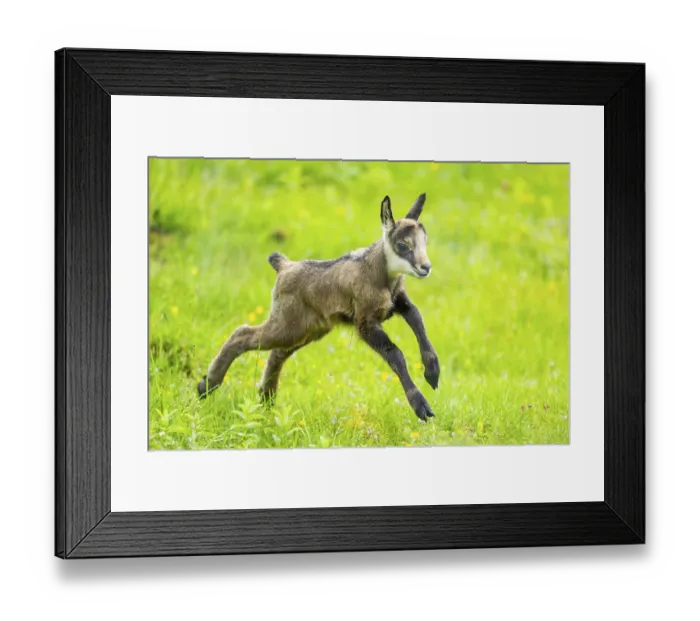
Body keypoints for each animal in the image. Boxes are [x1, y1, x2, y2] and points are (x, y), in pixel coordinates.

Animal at [197, 193, 440, 421]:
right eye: (403, 245)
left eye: (425, 242)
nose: (425, 267)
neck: (379, 273)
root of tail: (284, 266)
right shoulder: (365, 322)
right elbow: (395, 353)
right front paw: (422, 407)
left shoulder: (398, 301)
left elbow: (417, 319)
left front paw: (433, 374)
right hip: (288, 324)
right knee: (243, 334)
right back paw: (207, 386)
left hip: (307, 329)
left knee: (277, 353)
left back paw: (266, 399)